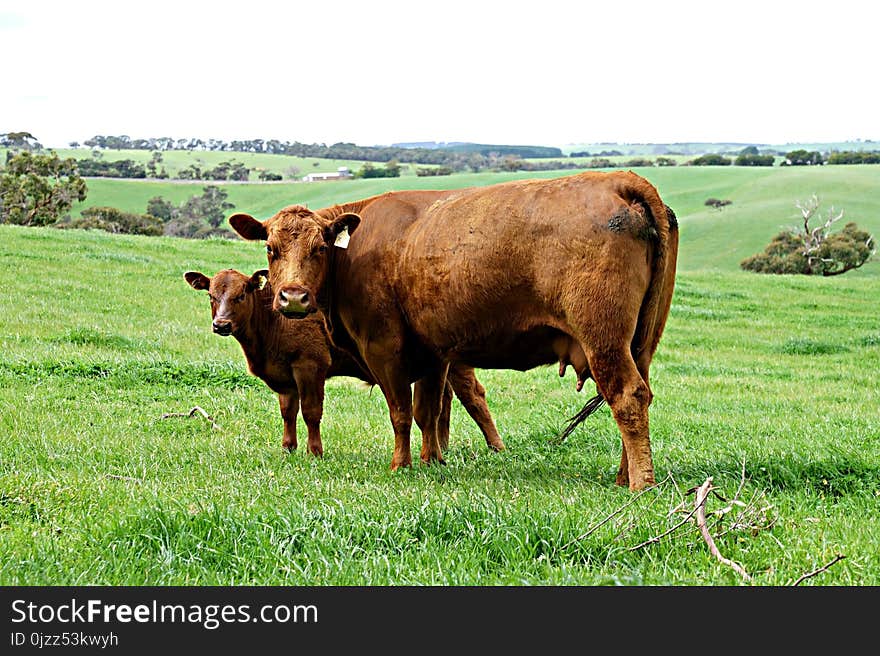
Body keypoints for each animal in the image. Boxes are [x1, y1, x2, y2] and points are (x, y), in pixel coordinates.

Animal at [182, 266, 506, 456]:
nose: (221, 324)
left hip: (457, 363)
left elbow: (311, 412)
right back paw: (444, 446)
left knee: (473, 397)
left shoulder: (310, 365)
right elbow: (288, 412)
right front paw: (288, 448)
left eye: (241, 295)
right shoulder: (285, 375)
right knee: (446, 400)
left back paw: (496, 446)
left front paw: (314, 451)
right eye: (211, 296)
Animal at [230, 172, 676, 490]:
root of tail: (621, 180)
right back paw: (623, 476)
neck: (355, 250)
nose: (293, 297)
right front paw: (433, 460)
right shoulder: (433, 353)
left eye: (320, 248)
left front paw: (401, 465)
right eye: (271, 248)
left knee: (627, 396)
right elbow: (427, 411)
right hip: (641, 343)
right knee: (641, 394)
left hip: (603, 338)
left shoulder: (383, 346)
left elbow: (400, 411)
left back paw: (640, 484)